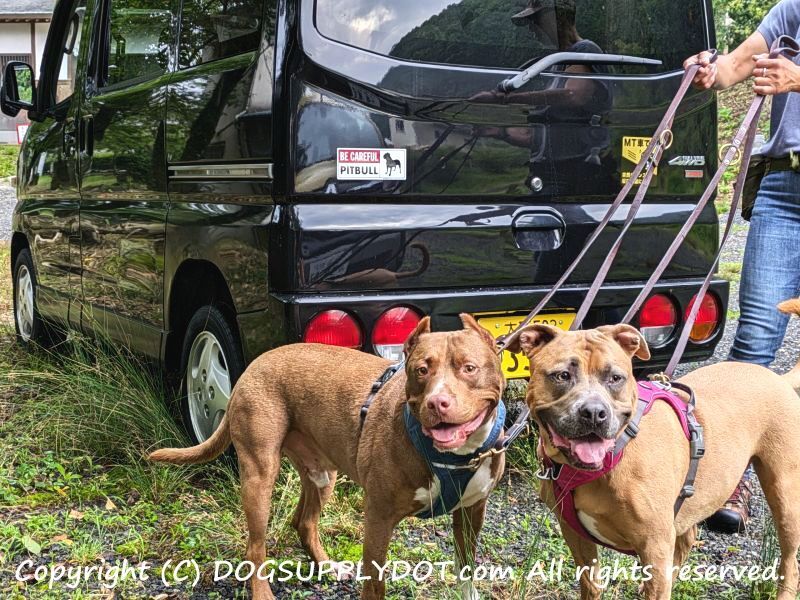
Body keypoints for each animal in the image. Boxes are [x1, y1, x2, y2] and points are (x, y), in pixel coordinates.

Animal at [147, 314, 504, 600]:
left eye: (469, 368)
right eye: (421, 370)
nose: (437, 403)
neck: (454, 456)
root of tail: (254, 364)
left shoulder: (473, 511)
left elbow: (467, 568)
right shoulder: (378, 517)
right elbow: (375, 584)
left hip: (321, 475)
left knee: (303, 522)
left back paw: (327, 566)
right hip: (259, 476)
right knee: (255, 547)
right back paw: (263, 592)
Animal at [506, 322, 800, 596]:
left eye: (616, 378)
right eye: (562, 375)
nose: (594, 413)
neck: (615, 454)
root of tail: (779, 379)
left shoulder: (654, 545)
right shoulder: (575, 535)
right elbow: (590, 586)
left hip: (785, 497)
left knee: (789, 559)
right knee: (688, 536)